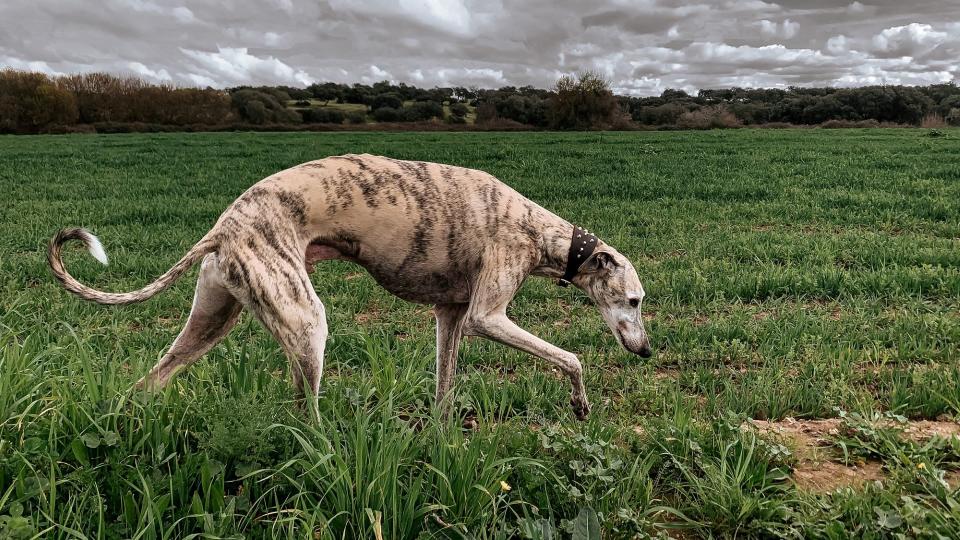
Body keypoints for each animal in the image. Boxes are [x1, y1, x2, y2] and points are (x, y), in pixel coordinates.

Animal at [47, 154, 652, 420]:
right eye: (634, 301)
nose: (646, 350)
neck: (537, 229)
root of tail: (224, 224)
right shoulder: (487, 315)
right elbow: (571, 356)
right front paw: (580, 403)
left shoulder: (451, 315)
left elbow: (444, 387)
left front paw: (440, 440)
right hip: (305, 320)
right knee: (302, 413)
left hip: (213, 319)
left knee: (150, 381)